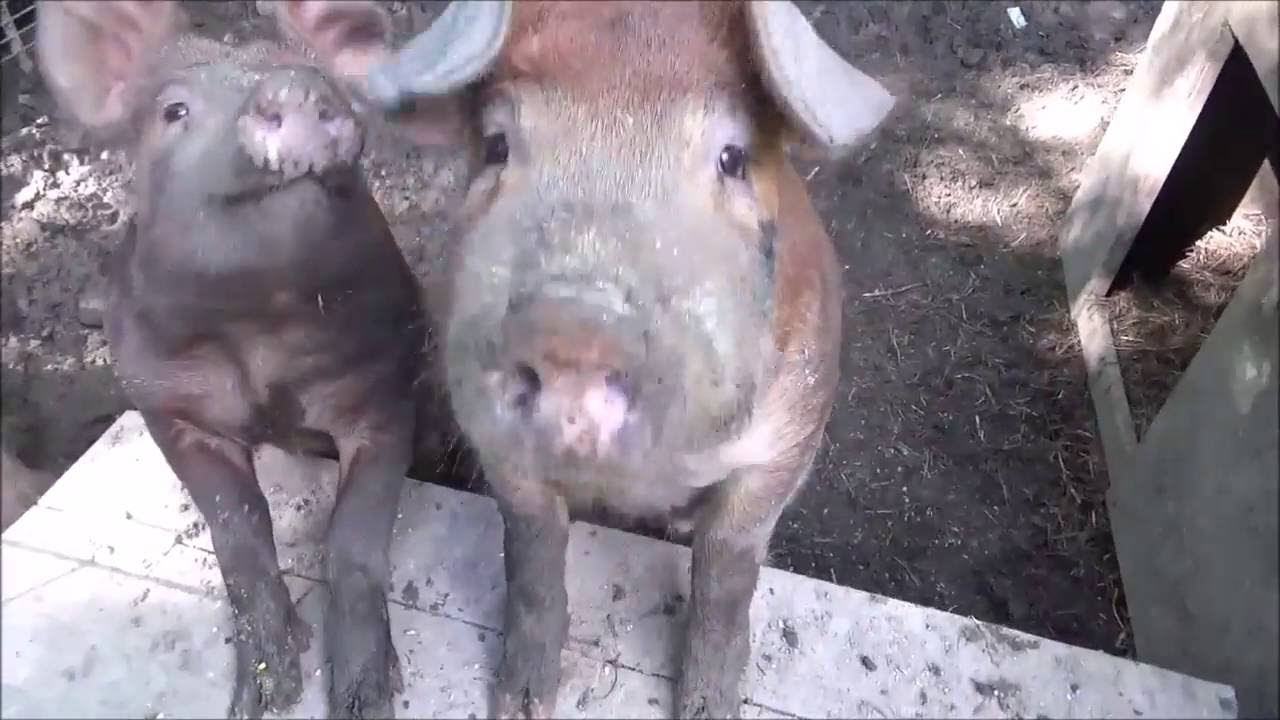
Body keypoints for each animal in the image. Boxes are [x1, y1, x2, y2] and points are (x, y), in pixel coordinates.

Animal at [36, 2, 432, 717]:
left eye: (328, 83)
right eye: (174, 110)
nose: (297, 86)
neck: (259, 334)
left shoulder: (384, 391)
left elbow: (355, 536)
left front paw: (365, 698)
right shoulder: (165, 402)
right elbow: (237, 524)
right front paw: (266, 695)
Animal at [359, 1, 896, 717]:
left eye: (732, 157)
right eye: (498, 145)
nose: (574, 320)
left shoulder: (789, 439)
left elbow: (727, 570)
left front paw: (707, 708)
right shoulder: (494, 442)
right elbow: (532, 553)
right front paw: (520, 705)